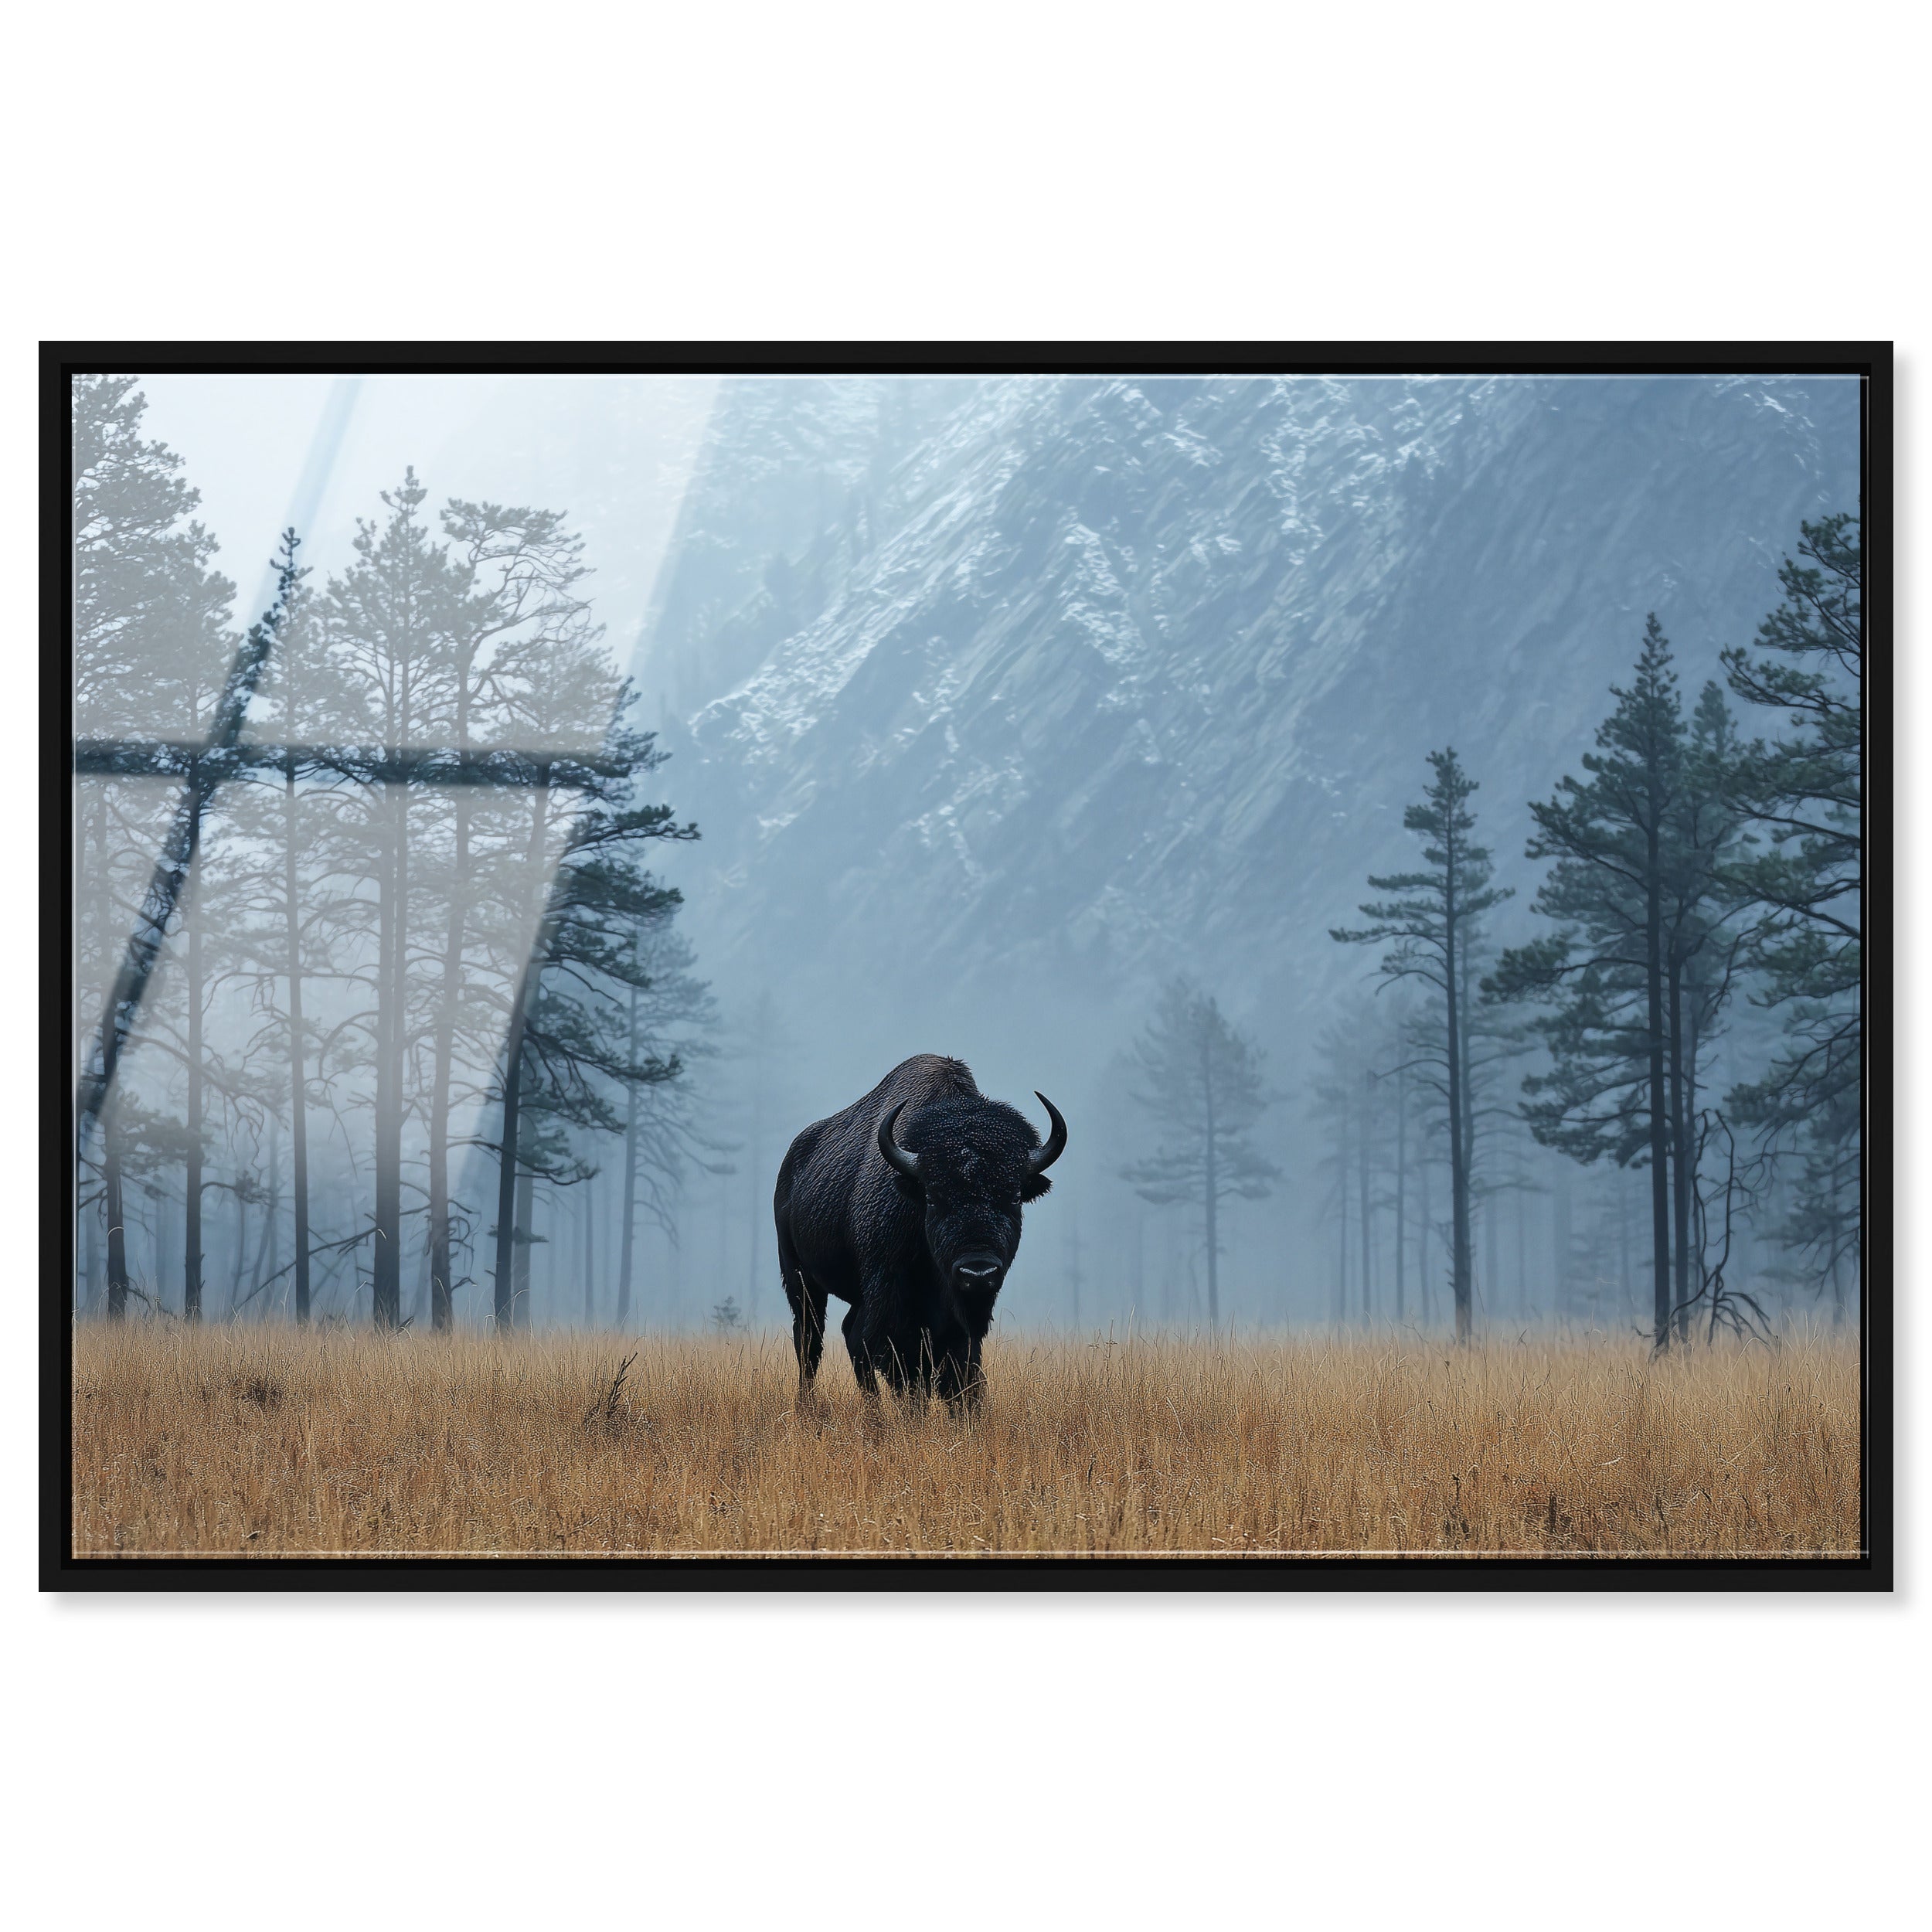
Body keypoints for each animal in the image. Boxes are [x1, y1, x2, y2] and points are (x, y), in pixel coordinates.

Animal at [773, 1054, 1067, 1411]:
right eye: (932, 1197)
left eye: (1013, 1195)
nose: (977, 1272)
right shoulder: (892, 1302)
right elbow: (907, 1370)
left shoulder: (959, 1321)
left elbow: (962, 1368)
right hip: (801, 1280)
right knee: (810, 1342)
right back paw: (811, 1408)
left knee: (850, 1336)